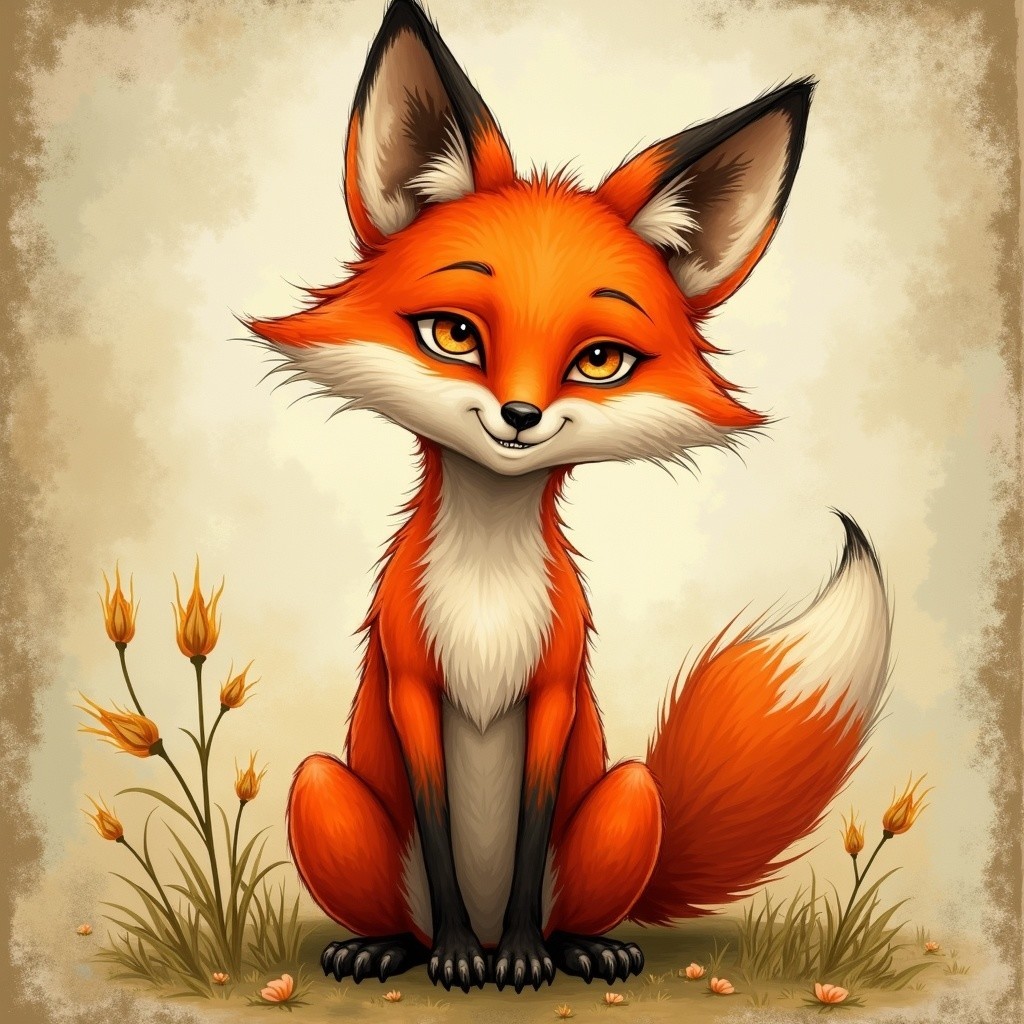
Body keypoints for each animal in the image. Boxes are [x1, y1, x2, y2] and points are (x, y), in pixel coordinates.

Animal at [246, 0, 891, 996]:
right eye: (454, 335)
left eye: (598, 361)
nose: (520, 417)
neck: (485, 586)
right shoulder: (410, 681)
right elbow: (439, 830)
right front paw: (461, 958)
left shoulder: (553, 684)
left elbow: (529, 829)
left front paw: (517, 957)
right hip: (321, 786)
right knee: (401, 908)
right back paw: (394, 946)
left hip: (629, 794)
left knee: (577, 902)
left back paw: (582, 947)